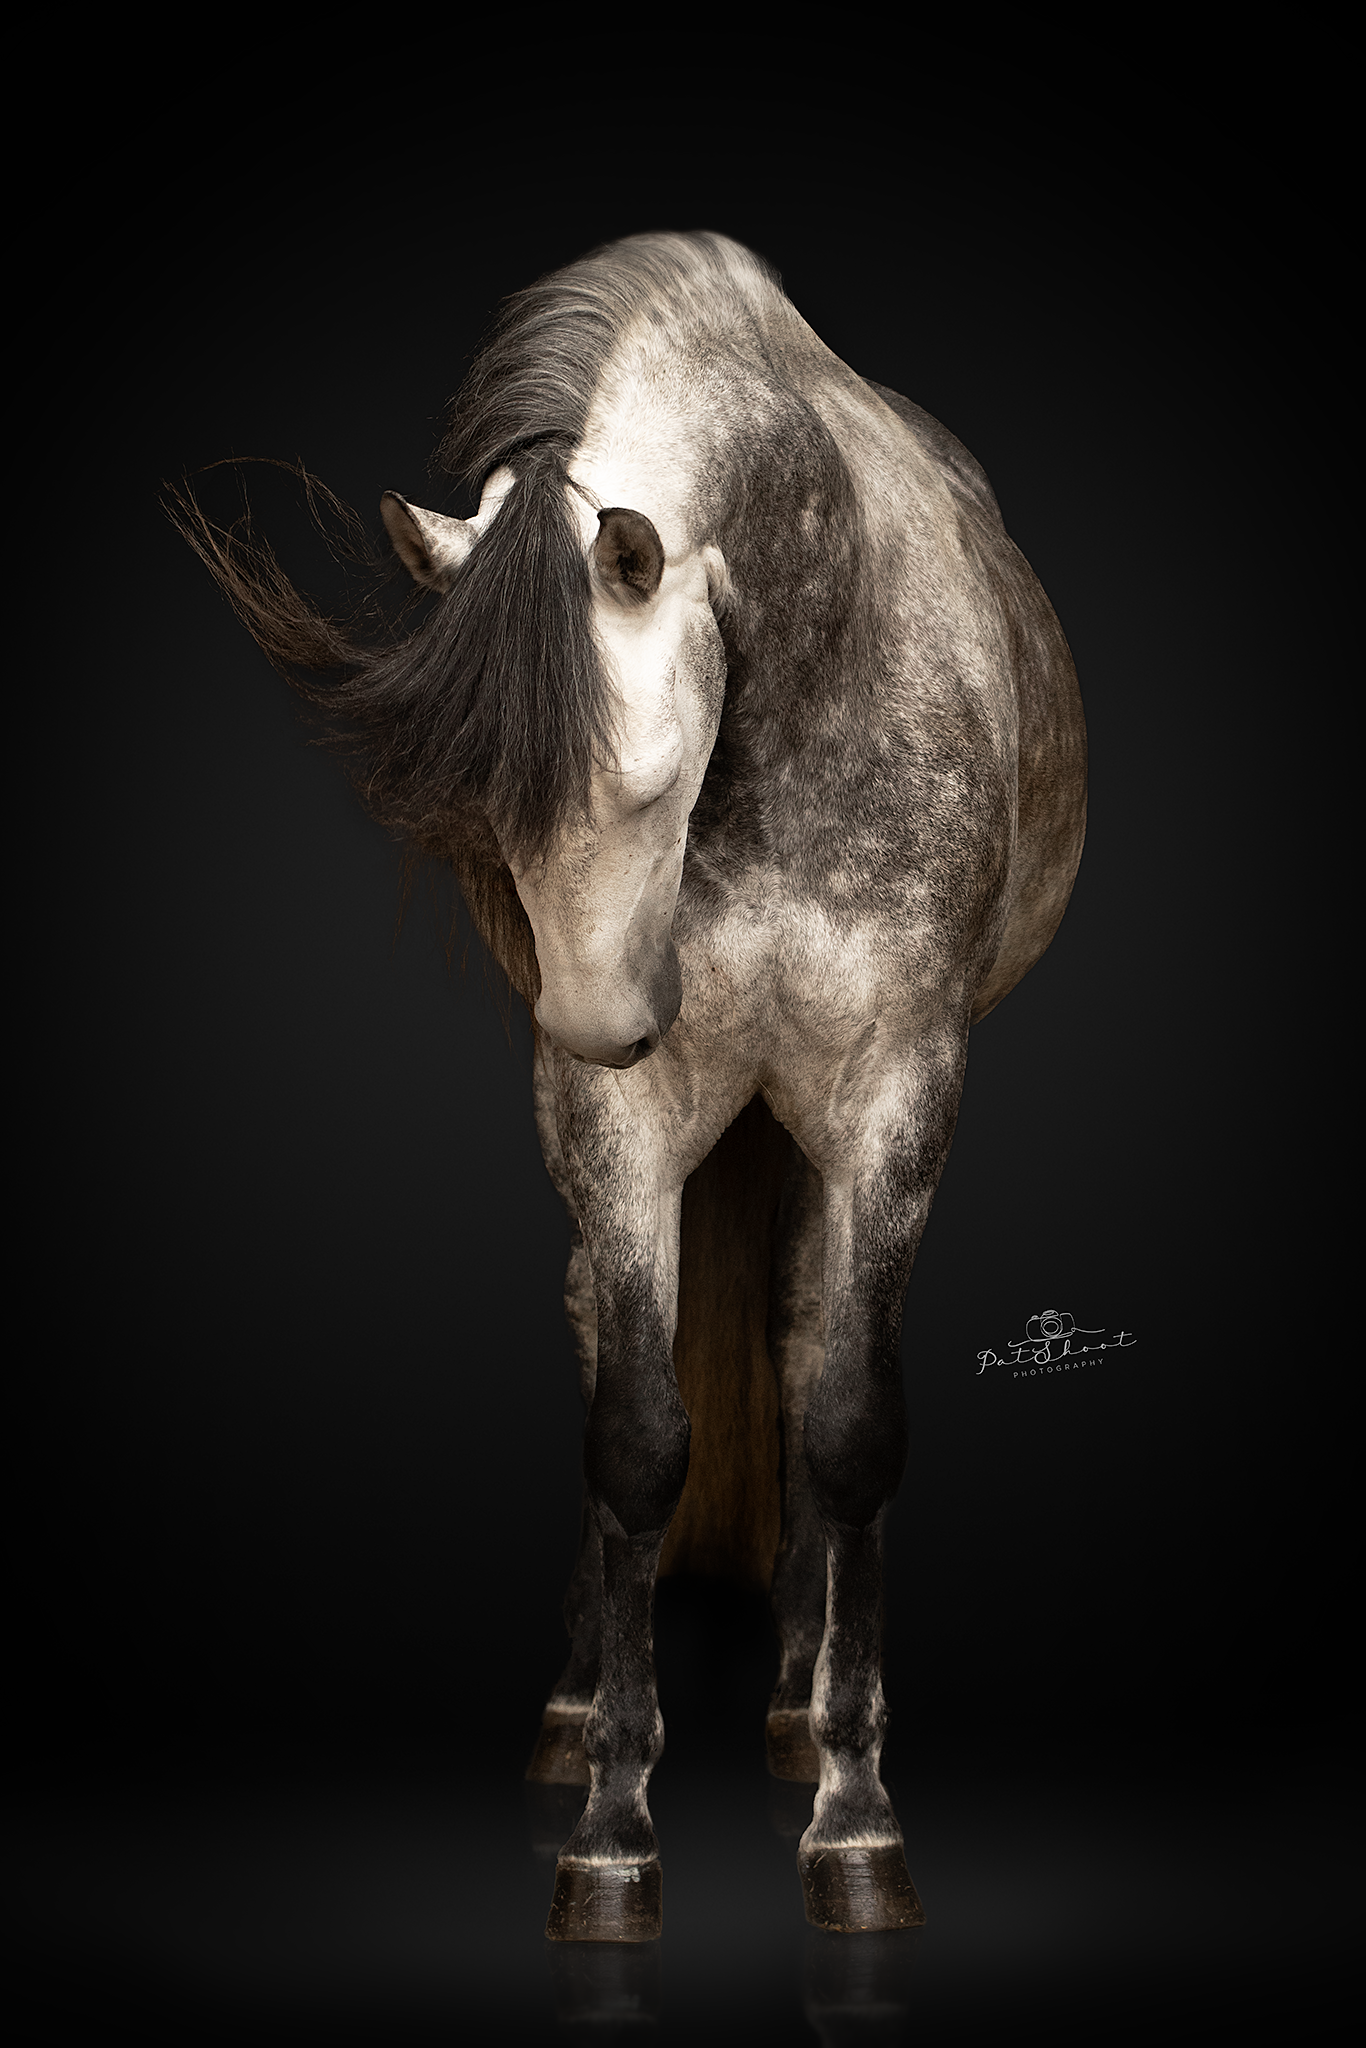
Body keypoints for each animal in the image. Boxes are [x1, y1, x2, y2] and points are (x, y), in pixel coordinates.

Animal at [174, 230, 1087, 1944]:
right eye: (485, 810)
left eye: (649, 783)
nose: (603, 1027)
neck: (810, 688)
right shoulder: (622, 1132)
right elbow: (635, 1438)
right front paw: (609, 1830)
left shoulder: (895, 1092)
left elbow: (848, 1422)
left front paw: (855, 1820)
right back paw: (583, 1700)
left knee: (800, 1347)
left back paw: (798, 1703)